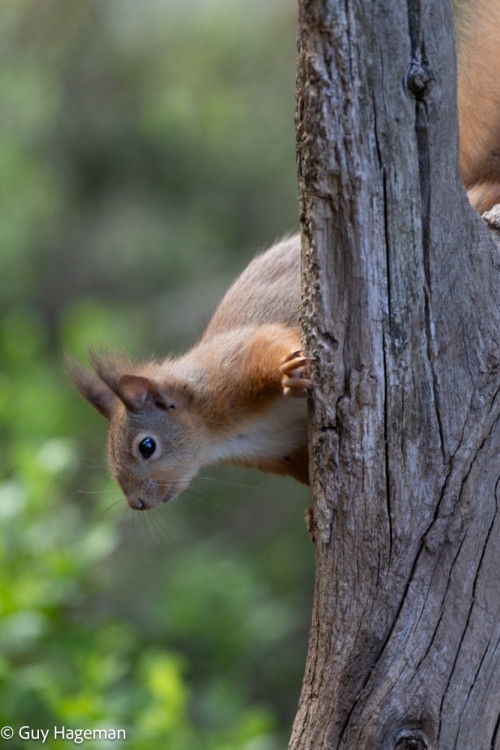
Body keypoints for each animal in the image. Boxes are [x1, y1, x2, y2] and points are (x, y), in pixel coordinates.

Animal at [70, 0, 500, 512]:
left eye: (146, 446)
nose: (137, 504)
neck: (218, 431)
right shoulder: (283, 452)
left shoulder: (235, 361)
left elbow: (271, 344)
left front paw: (289, 373)